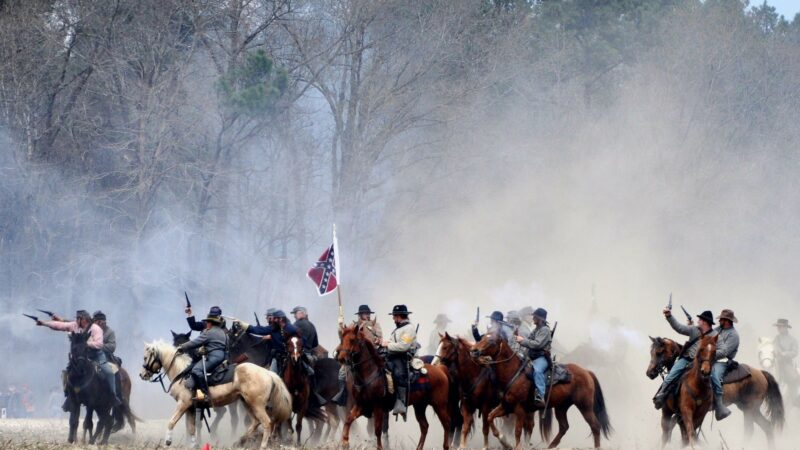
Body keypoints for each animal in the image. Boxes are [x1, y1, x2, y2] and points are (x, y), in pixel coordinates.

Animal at [139, 340, 292, 448]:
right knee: (255, 422)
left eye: (145, 357)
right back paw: (238, 442)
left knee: (267, 423)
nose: (142, 374)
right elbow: (191, 429)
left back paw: (261, 445)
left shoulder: (183, 404)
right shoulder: (191, 408)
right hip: (247, 403)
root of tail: (268, 373)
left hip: (256, 405)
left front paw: (168, 441)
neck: (182, 373)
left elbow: (172, 422)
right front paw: (194, 445)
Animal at [468, 330, 612, 450]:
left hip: (585, 406)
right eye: (482, 338)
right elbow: (490, 417)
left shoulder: (520, 409)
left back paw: (596, 447)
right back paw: (551, 446)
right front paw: (504, 441)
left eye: (491, 341)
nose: (473, 350)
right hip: (561, 407)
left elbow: (518, 431)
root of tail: (587, 372)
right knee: (564, 427)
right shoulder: (506, 406)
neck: (514, 373)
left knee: (595, 426)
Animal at [648, 336, 784, 448]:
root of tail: (761, 372)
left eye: (659, 352)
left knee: (750, 430)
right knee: (766, 427)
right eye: (651, 352)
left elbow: (676, 435)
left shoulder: (672, 413)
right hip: (747, 409)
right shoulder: (678, 415)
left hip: (751, 409)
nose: (650, 372)